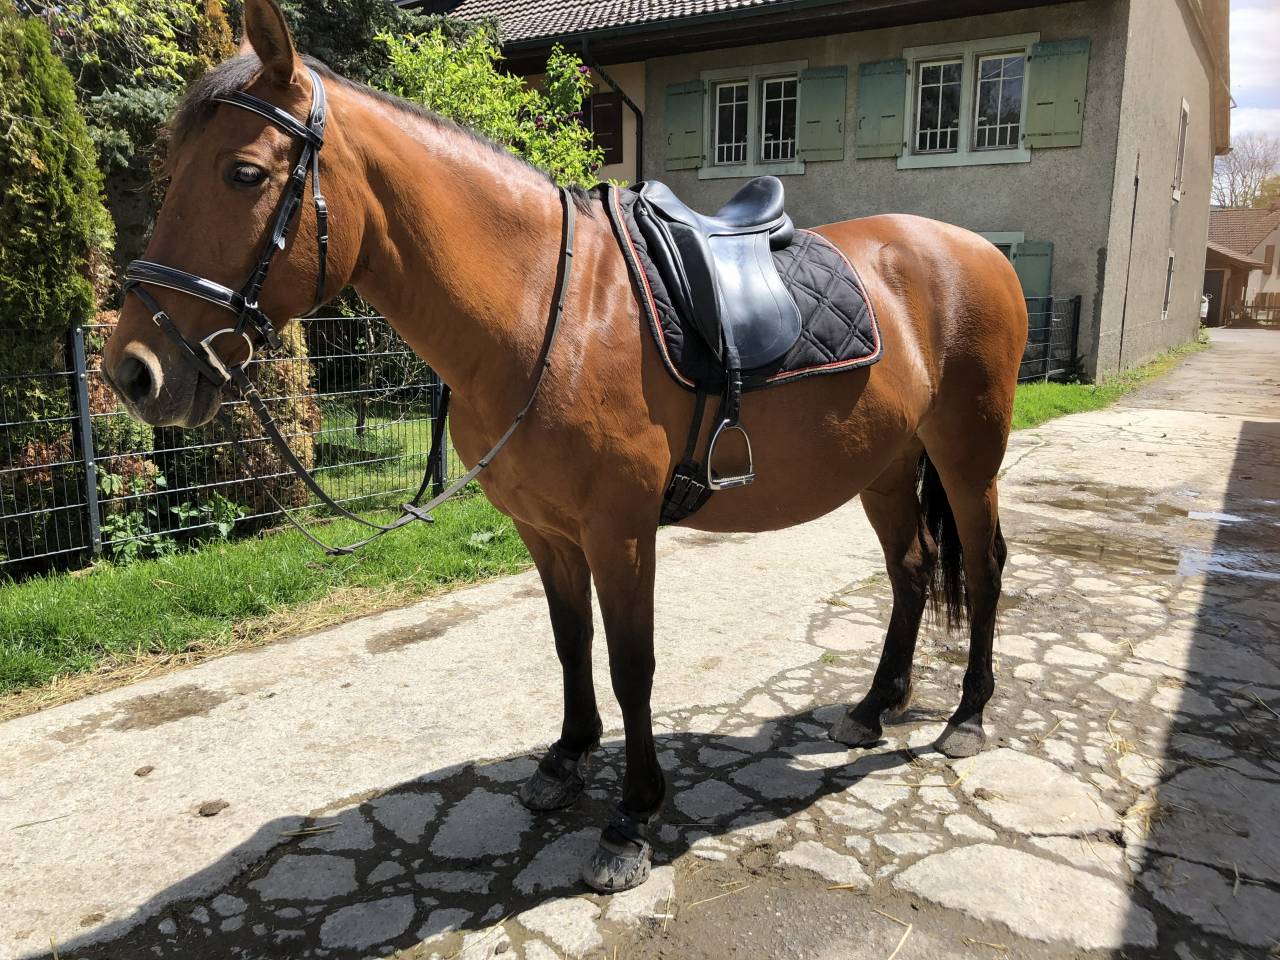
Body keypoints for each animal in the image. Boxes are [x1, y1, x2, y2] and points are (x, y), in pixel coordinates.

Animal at [102, 0, 1027, 892]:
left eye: (245, 174)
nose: (133, 371)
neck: (546, 311)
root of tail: (978, 249)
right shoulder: (545, 531)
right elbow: (569, 644)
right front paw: (568, 757)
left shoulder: (620, 531)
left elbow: (630, 664)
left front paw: (633, 817)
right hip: (886, 463)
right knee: (910, 571)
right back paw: (876, 705)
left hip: (967, 454)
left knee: (983, 569)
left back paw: (967, 716)